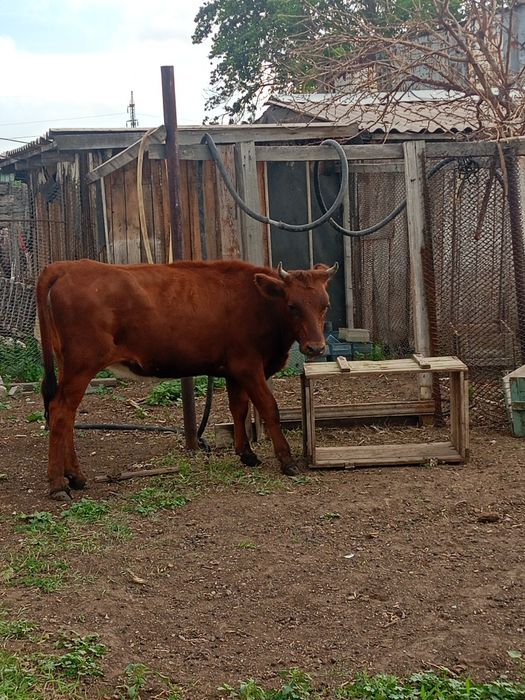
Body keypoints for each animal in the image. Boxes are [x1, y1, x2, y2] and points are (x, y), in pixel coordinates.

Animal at [36, 258, 338, 500]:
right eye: (292, 305)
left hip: (68, 365)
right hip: (81, 366)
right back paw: (57, 484)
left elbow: (238, 409)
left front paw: (246, 453)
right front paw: (286, 460)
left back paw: (75, 476)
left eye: (325, 305)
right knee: (60, 411)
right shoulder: (249, 367)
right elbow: (269, 409)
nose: (316, 348)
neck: (258, 303)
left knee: (67, 414)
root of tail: (68, 266)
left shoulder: (234, 370)